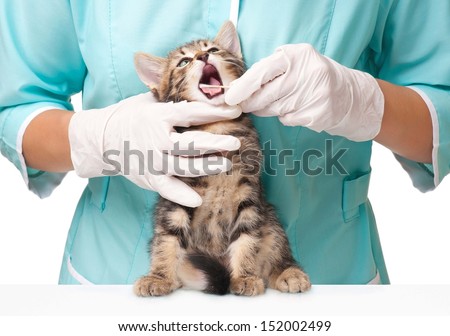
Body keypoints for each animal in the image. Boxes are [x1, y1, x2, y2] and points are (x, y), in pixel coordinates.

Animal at [132, 20, 312, 296]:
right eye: (183, 62)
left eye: (213, 49)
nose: (203, 56)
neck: (217, 128)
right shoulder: (176, 197)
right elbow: (167, 240)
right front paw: (159, 277)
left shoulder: (249, 193)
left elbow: (247, 238)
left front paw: (245, 277)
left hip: (270, 219)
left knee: (276, 245)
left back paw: (287, 272)